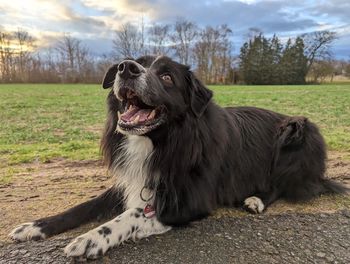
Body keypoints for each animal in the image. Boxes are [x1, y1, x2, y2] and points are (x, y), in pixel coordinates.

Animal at [8, 54, 348, 258]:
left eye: (167, 78)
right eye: (136, 63)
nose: (126, 67)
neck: (163, 139)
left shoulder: (192, 200)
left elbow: (133, 214)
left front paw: (93, 237)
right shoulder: (135, 180)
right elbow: (85, 205)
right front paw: (36, 226)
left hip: (296, 132)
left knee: (280, 185)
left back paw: (256, 200)